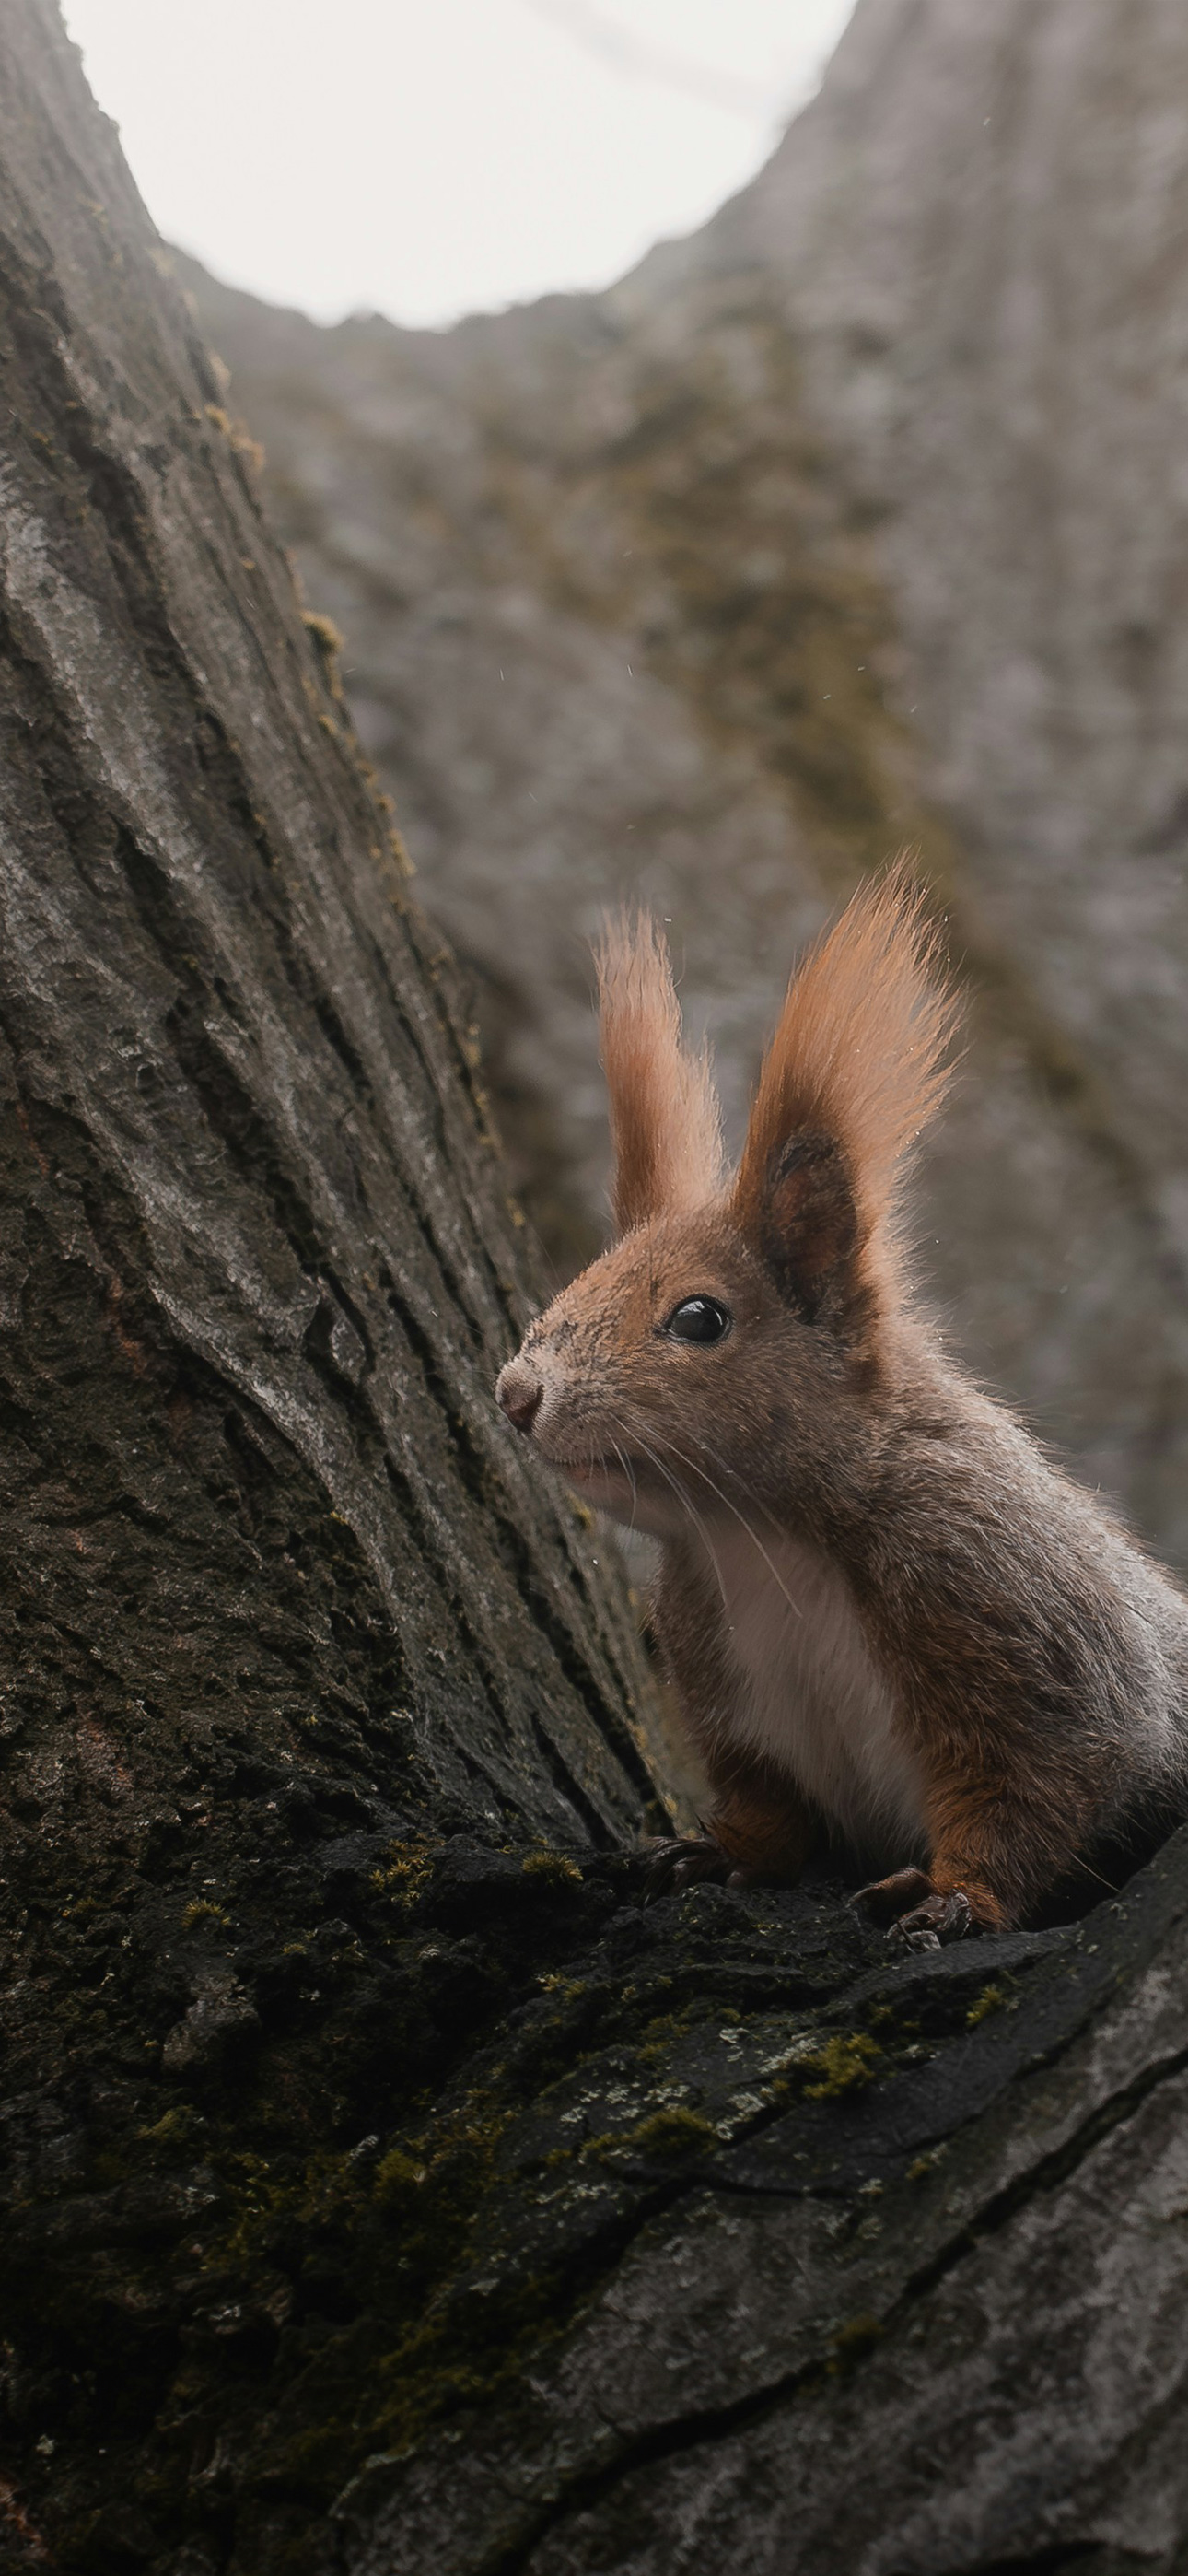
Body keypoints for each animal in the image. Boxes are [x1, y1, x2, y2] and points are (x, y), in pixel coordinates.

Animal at [496, 870, 1188, 1946]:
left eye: (699, 1317)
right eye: (577, 1279)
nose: (517, 1394)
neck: (764, 1541)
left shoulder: (1013, 1615)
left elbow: (1039, 1790)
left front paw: (955, 1898)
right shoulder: (728, 1685)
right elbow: (770, 1813)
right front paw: (710, 1853)